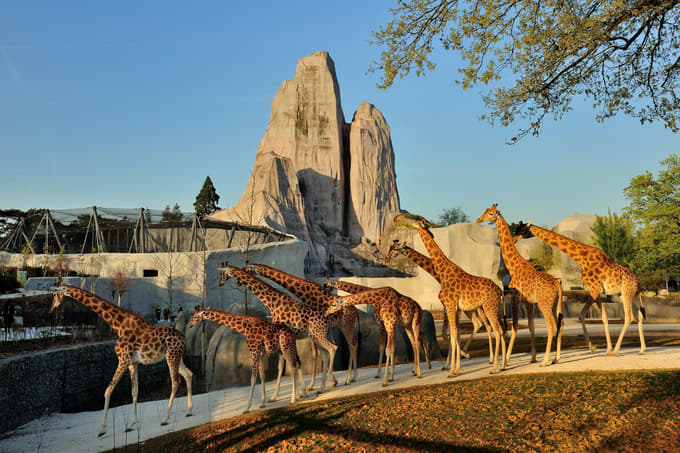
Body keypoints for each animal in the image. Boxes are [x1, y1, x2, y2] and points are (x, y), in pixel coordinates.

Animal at [50, 285, 193, 437]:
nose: (52, 308)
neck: (118, 325)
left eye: (54, 294)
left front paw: (102, 429)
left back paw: (165, 419)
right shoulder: (132, 363)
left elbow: (108, 390)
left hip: (171, 356)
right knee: (188, 374)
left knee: (176, 381)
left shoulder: (123, 360)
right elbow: (134, 391)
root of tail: (183, 337)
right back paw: (190, 411)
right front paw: (131, 425)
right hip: (177, 356)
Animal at [218, 264, 338, 392]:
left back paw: (330, 382)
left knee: (332, 348)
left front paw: (294, 392)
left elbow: (286, 364)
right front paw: (300, 390)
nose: (220, 283)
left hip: (318, 335)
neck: (272, 302)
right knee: (326, 352)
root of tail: (325, 317)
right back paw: (325, 384)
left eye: (223, 273)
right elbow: (292, 362)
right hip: (317, 335)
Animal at [414, 219, 506, 377]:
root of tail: (499, 289)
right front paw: (456, 368)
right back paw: (503, 365)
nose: (413, 222)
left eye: (417, 222)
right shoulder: (455, 308)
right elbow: (455, 335)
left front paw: (452, 371)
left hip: (488, 307)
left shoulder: (450, 305)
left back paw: (495, 368)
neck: (442, 271)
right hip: (493, 308)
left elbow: (452, 336)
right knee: (500, 329)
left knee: (497, 331)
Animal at [476, 204, 563, 367]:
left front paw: (507, 358)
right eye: (485, 211)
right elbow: (531, 326)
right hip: (555, 303)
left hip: (544, 303)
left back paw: (546, 361)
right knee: (560, 323)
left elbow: (515, 327)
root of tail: (557, 283)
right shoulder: (527, 302)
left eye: (490, 213)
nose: (478, 219)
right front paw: (533, 358)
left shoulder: (515, 298)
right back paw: (556, 358)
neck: (514, 266)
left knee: (551, 324)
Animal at [527, 222, 646, 355]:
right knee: (639, 317)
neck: (582, 258)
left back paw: (617, 350)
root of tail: (638, 283)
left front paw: (594, 347)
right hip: (632, 295)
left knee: (629, 317)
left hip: (626, 293)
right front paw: (606, 349)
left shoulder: (594, 289)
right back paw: (642, 349)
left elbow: (581, 315)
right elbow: (603, 318)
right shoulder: (597, 291)